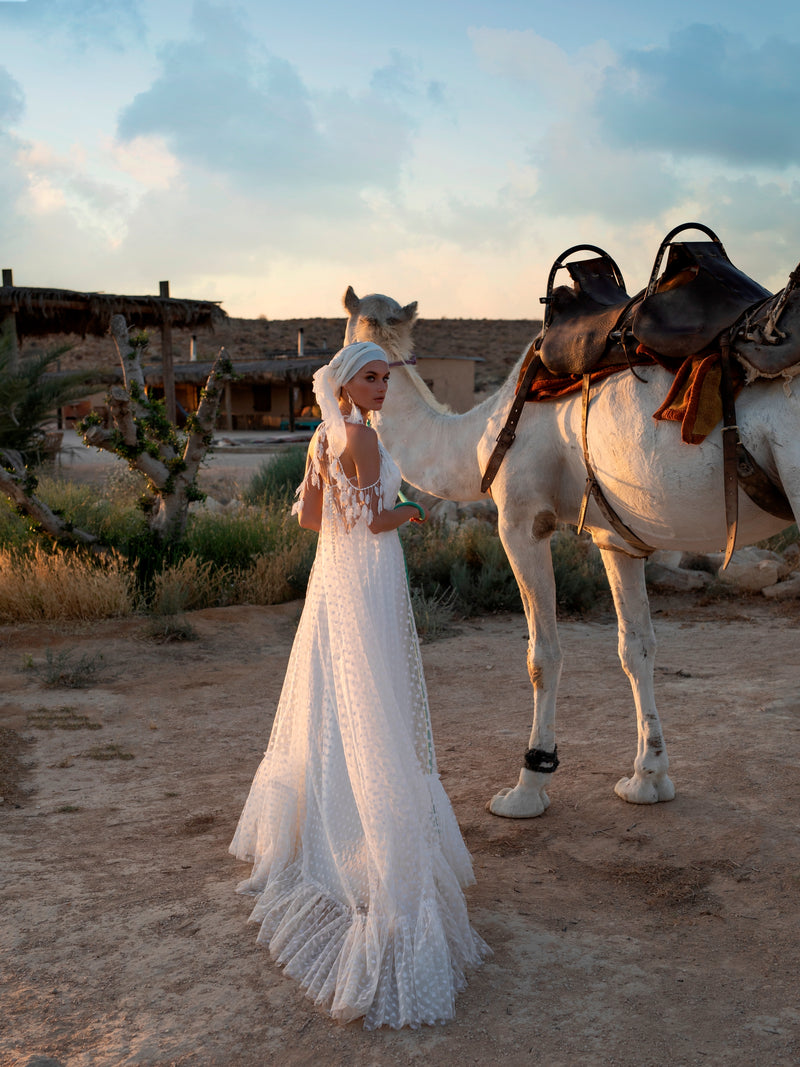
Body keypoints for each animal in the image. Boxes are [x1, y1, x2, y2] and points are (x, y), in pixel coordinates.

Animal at [343, 283, 800, 815]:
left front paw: (528, 784)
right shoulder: (617, 539)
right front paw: (647, 778)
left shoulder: (522, 519)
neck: (481, 432)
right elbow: (636, 647)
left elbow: (542, 655)